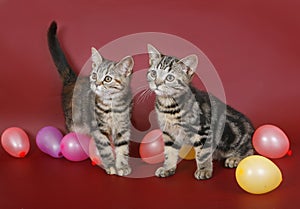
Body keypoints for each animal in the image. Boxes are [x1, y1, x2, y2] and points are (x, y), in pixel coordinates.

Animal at [47, 21, 134, 176]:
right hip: (73, 122)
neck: (112, 104)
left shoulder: (123, 127)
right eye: (94, 75)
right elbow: (105, 148)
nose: (96, 83)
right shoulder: (98, 128)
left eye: (107, 79)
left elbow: (122, 148)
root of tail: (73, 79)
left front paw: (122, 166)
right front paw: (110, 165)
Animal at [146, 43, 254, 180]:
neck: (168, 106)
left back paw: (234, 159)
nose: (157, 83)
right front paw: (167, 168)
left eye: (169, 78)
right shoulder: (168, 133)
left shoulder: (203, 130)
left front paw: (204, 170)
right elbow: (169, 152)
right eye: (153, 73)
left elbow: (202, 153)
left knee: (250, 151)